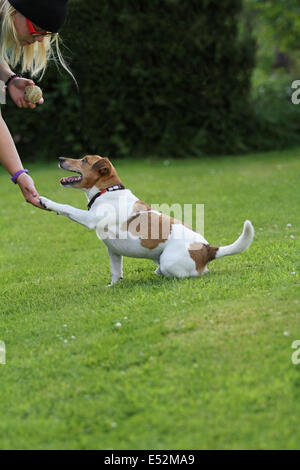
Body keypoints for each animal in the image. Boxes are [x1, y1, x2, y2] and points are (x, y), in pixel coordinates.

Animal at [39, 156, 253, 284]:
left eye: (83, 159)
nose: (60, 158)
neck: (106, 191)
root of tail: (208, 249)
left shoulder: (91, 218)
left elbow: (66, 208)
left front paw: (45, 201)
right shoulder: (113, 251)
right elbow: (115, 271)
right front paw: (114, 286)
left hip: (169, 261)